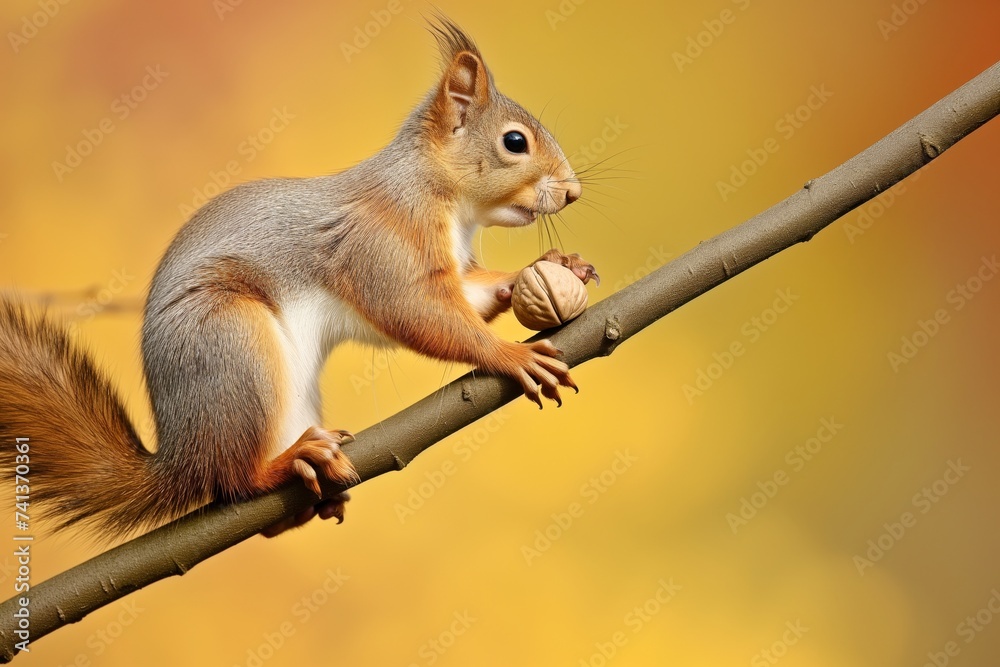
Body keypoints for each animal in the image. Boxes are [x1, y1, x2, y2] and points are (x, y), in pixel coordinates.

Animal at [0, 17, 596, 540]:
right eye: (514, 142)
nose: (572, 193)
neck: (441, 198)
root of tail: (181, 458)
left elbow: (471, 294)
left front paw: (551, 269)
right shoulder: (379, 247)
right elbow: (418, 313)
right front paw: (512, 356)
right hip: (231, 344)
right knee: (234, 482)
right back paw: (286, 464)